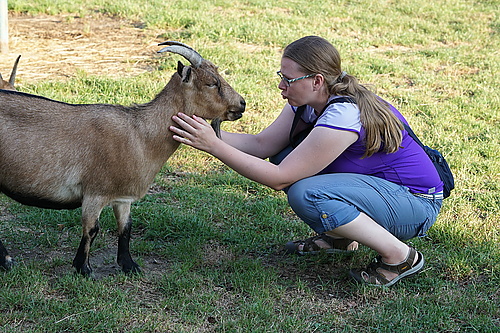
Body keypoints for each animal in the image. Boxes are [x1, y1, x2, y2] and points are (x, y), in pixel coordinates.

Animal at [0, 42, 246, 274]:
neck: (139, 136)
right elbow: (92, 230)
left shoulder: (123, 197)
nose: (242, 103)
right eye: (211, 83)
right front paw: (83, 268)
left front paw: (129, 266)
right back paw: (7, 261)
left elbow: (126, 228)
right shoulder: (95, 192)